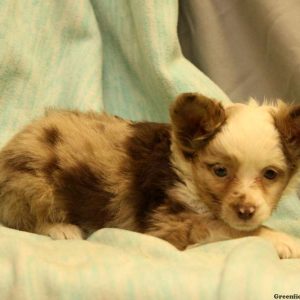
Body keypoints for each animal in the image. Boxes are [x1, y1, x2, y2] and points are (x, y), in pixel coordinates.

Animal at [0, 94, 300, 258]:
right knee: (20, 216)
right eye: (220, 171)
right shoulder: (169, 223)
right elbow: (228, 228)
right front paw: (284, 241)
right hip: (31, 184)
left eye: (270, 174)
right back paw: (62, 229)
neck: (189, 175)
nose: (245, 211)